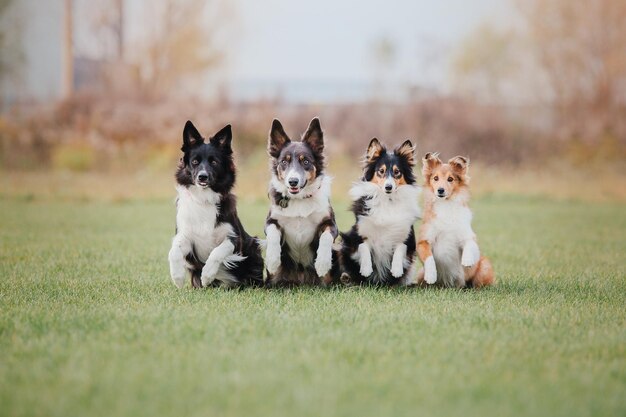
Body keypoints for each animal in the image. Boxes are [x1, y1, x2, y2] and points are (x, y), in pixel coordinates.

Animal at [167, 121, 262, 290]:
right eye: (195, 162)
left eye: (214, 162)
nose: (202, 177)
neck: (204, 198)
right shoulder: (187, 237)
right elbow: (174, 250)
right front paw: (177, 277)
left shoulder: (235, 239)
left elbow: (217, 252)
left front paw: (207, 275)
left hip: (254, 246)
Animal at [264, 117, 342, 286]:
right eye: (284, 162)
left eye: (305, 161)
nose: (293, 181)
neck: (299, 200)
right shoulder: (271, 222)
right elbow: (272, 234)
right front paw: (272, 260)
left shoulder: (330, 224)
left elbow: (326, 237)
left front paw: (322, 263)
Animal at [338, 138, 422, 284]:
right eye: (381, 171)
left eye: (397, 172)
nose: (388, 187)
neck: (387, 200)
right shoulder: (358, 232)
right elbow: (363, 246)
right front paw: (366, 268)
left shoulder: (407, 236)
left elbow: (401, 247)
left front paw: (396, 269)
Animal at [414, 154, 492, 290]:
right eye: (435, 178)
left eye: (450, 179)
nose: (440, 190)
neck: (446, 205)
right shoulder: (423, 241)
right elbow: (429, 257)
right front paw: (431, 275)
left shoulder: (467, 234)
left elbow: (470, 242)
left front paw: (467, 260)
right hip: (420, 275)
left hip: (484, 267)